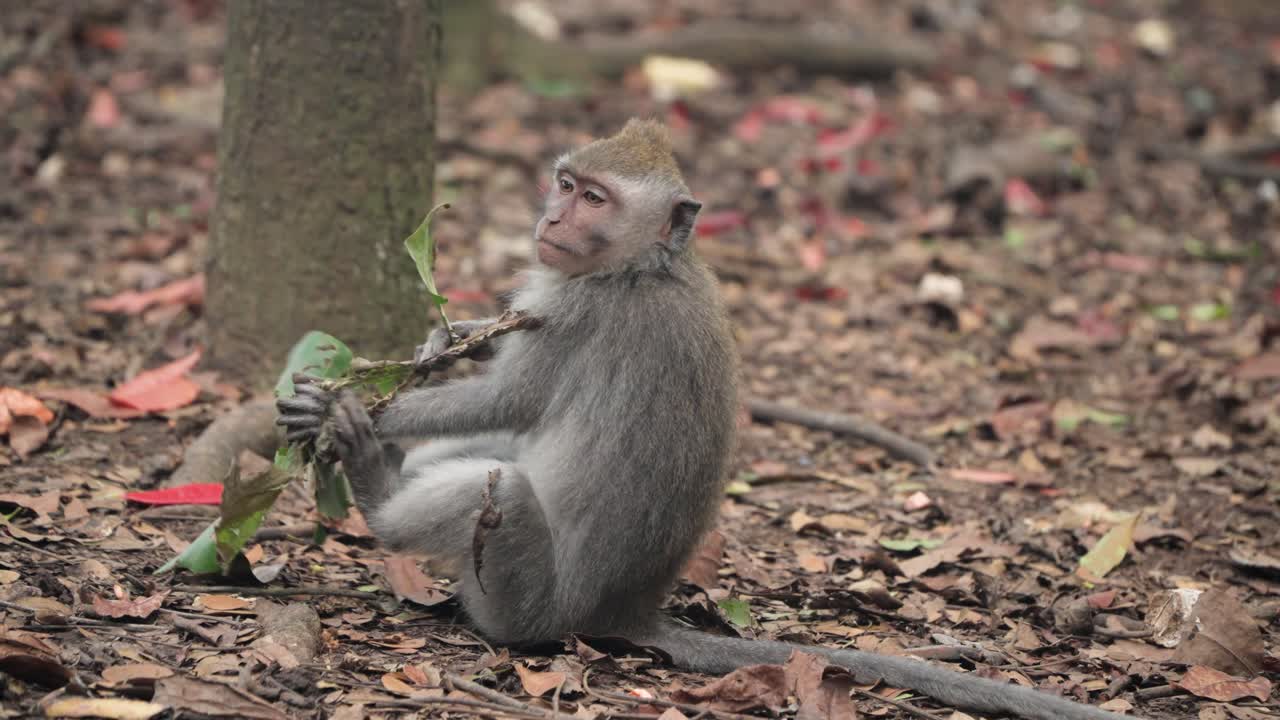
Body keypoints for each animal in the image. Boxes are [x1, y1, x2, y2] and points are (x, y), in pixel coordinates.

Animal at [277, 119, 1133, 720]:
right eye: (565, 182)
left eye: (594, 199)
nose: (552, 221)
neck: (646, 265)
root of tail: (624, 609)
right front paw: (441, 342)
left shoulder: (582, 311)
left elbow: (510, 398)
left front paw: (362, 401)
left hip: (524, 601)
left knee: (501, 492)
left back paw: (376, 487)